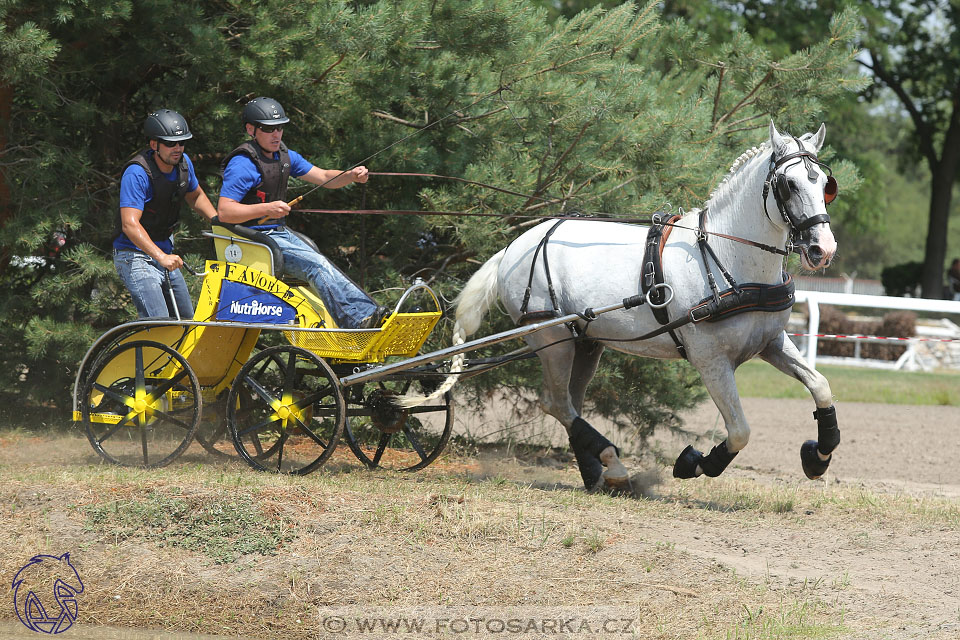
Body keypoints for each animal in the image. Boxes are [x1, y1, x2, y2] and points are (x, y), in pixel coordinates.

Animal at [412, 121, 840, 490]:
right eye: (788, 184)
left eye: (825, 185)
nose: (823, 249)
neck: (727, 255)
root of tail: (516, 246)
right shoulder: (711, 361)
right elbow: (739, 432)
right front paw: (693, 463)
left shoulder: (771, 342)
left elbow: (820, 386)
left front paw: (818, 455)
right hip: (551, 339)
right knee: (556, 403)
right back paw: (612, 464)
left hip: (584, 343)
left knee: (570, 403)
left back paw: (595, 473)